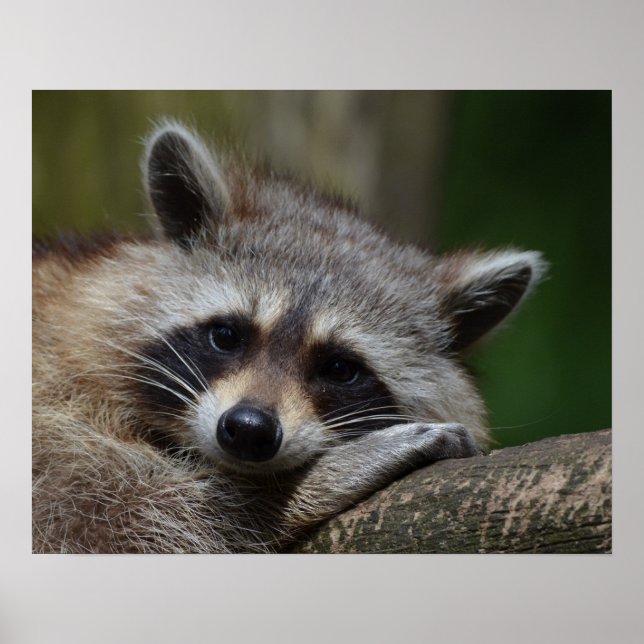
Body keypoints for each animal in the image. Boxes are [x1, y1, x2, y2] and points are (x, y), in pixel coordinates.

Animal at [32, 120, 544, 553]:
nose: (248, 429)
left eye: (340, 368)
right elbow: (115, 518)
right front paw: (317, 479)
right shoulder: (51, 404)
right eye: (226, 335)